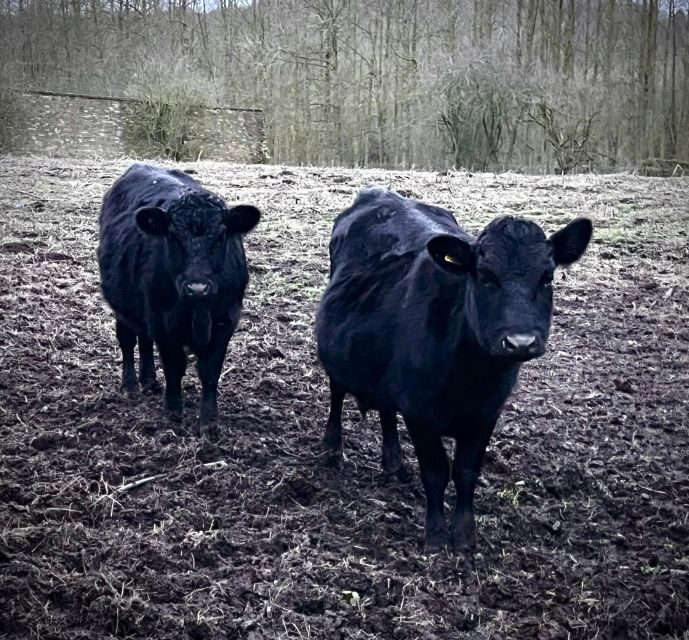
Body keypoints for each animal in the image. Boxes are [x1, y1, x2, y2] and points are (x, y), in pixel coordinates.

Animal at [98, 163, 260, 437]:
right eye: (173, 236)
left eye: (220, 236)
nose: (197, 287)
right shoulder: (164, 320)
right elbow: (174, 366)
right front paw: (173, 412)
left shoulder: (226, 320)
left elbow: (210, 370)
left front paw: (209, 421)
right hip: (124, 306)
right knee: (128, 340)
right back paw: (130, 385)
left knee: (144, 338)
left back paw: (149, 380)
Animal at [315, 186, 592, 551]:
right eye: (485, 275)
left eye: (546, 278)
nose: (520, 342)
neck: (471, 378)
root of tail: (379, 193)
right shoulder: (419, 413)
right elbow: (435, 471)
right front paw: (435, 535)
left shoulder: (486, 413)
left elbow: (465, 471)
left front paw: (464, 535)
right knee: (337, 391)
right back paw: (333, 447)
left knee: (386, 409)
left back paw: (393, 461)